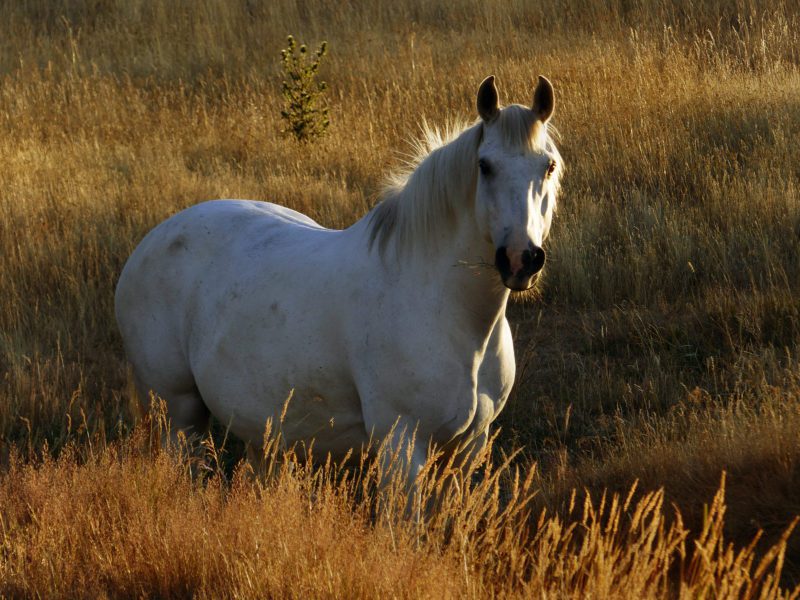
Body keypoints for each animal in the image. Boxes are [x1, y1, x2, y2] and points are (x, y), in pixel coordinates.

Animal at [114, 74, 564, 478]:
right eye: (485, 166)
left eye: (549, 166)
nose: (521, 258)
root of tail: (152, 241)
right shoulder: (401, 445)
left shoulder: (469, 447)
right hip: (180, 414)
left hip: (260, 427)